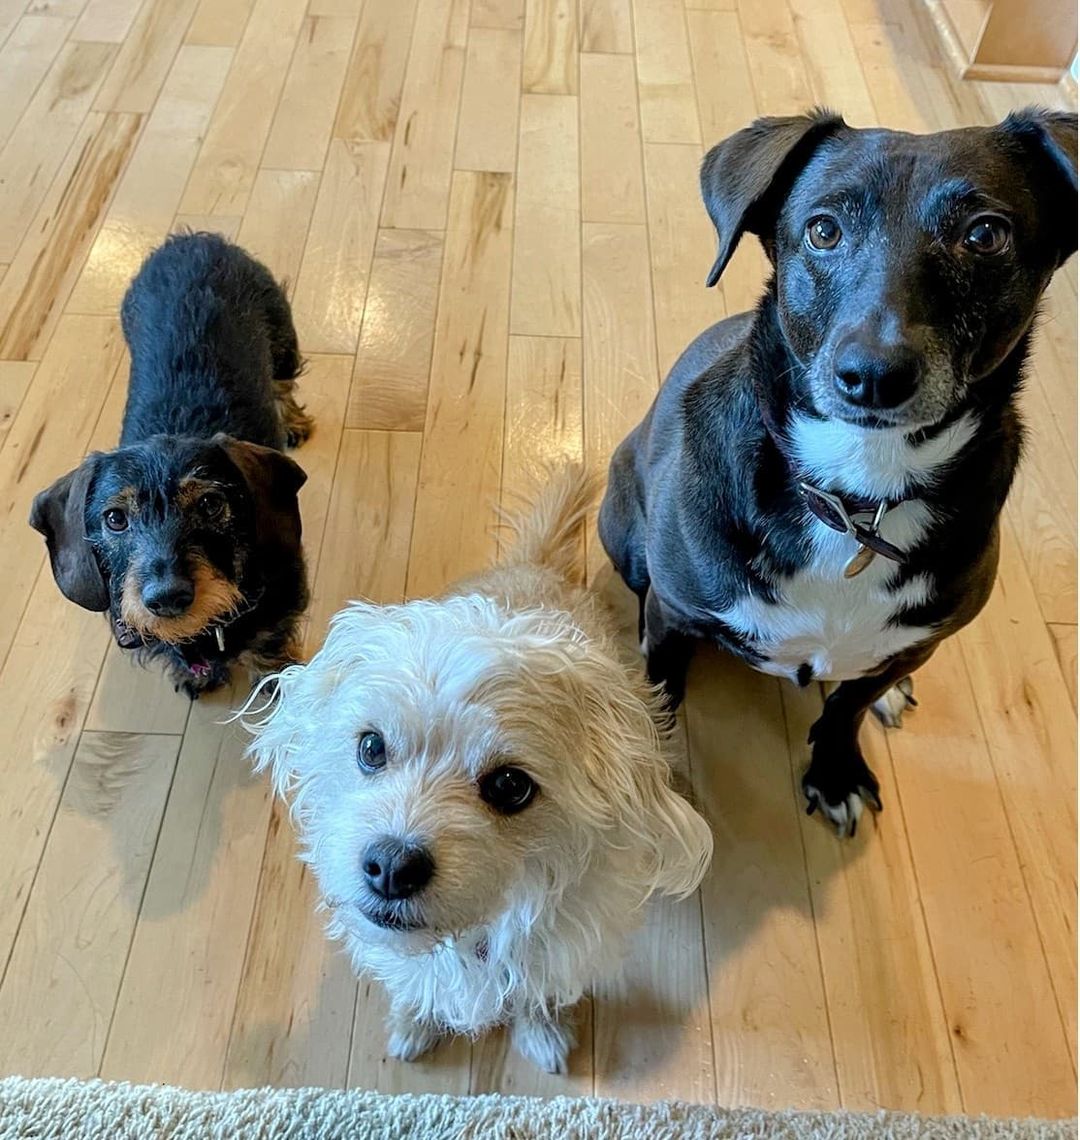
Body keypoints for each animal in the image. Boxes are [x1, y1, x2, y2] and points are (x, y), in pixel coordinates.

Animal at [29, 230, 314, 693]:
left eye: (211, 504)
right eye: (115, 519)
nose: (167, 599)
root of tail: (191, 239)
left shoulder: (282, 598)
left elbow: (271, 650)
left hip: (282, 334)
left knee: (282, 381)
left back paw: (293, 421)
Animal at [247, 467, 716, 1071]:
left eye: (511, 786)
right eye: (371, 747)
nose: (391, 867)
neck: (473, 932)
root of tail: (537, 565)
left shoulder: (554, 950)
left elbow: (537, 991)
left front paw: (542, 1032)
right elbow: (416, 985)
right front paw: (414, 1022)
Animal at [602, 107, 1076, 834]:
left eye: (985, 234)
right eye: (824, 229)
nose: (874, 375)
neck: (858, 493)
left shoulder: (919, 637)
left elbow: (846, 705)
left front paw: (835, 771)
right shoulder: (672, 616)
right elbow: (659, 703)